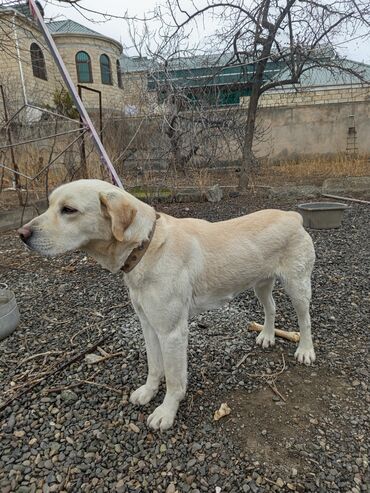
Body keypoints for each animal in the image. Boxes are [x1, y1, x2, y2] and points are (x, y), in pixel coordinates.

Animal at [18, 179, 316, 428]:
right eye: (49, 204)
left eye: (68, 209)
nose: (22, 234)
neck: (145, 246)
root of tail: (294, 216)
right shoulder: (148, 324)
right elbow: (154, 366)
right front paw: (148, 392)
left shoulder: (172, 332)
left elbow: (173, 379)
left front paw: (166, 412)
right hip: (260, 284)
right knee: (271, 308)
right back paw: (267, 335)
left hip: (298, 286)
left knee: (305, 321)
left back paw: (305, 350)